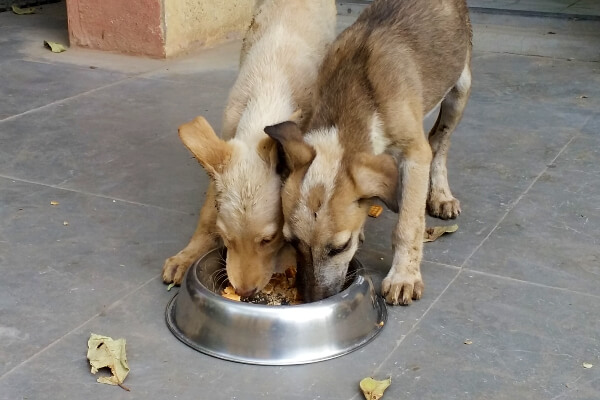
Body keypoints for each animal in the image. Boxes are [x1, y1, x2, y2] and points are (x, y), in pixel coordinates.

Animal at [162, 0, 336, 296]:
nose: (243, 293)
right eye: (226, 238)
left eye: (269, 239)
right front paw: (186, 256)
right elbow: (207, 214)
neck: (268, 91)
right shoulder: (227, 146)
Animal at [264, 0, 472, 304]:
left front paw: (404, 277)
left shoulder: (414, 154)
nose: (312, 298)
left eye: (340, 247)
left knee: (439, 141)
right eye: (291, 241)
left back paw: (441, 195)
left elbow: (408, 223)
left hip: (459, 89)